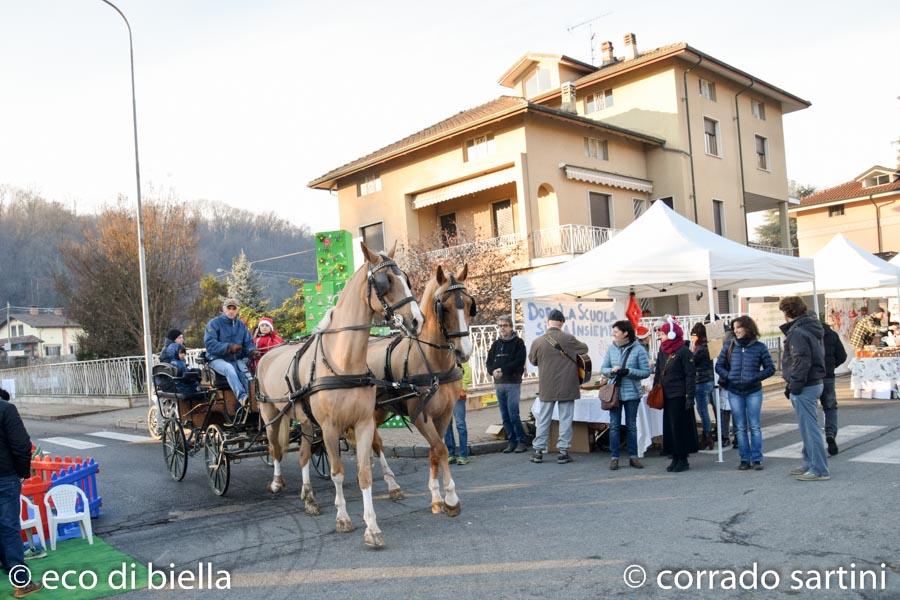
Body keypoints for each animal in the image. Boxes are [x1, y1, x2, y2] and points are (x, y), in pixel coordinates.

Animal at [253, 243, 422, 548]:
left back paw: (309, 497)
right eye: (385, 282)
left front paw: (372, 528)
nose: (417, 320)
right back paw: (276, 482)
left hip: (306, 422)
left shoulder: (363, 423)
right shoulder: (330, 428)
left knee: (304, 454)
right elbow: (337, 472)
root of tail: (267, 354)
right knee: (275, 448)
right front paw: (343, 518)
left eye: (405, 278)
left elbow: (365, 473)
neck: (343, 361)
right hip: (272, 415)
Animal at [298, 264, 478, 516]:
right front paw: (450, 499)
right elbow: (441, 449)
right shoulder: (420, 415)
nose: (464, 352)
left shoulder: (444, 414)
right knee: (360, 444)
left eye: (470, 305)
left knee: (375, 443)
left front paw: (437, 497)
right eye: (445, 307)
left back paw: (389, 483)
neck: (430, 360)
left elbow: (435, 451)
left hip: (377, 412)